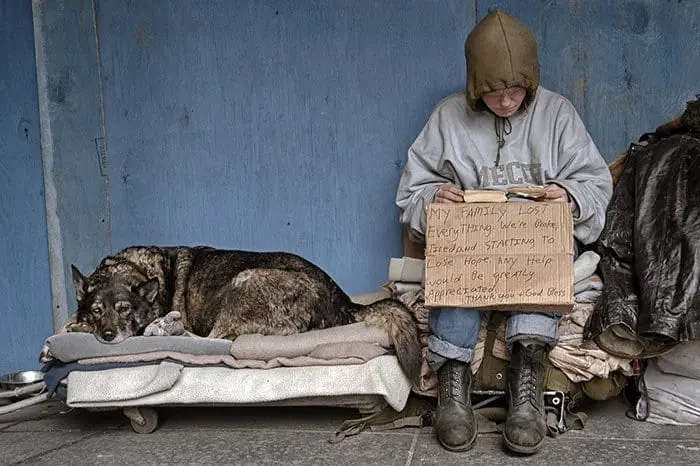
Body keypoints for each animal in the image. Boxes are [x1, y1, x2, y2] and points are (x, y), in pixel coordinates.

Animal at [71, 246, 422, 380]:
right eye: (96, 310)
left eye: (125, 310)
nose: (107, 335)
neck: (133, 269)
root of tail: (343, 300)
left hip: (243, 279)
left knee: (211, 340)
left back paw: (164, 328)